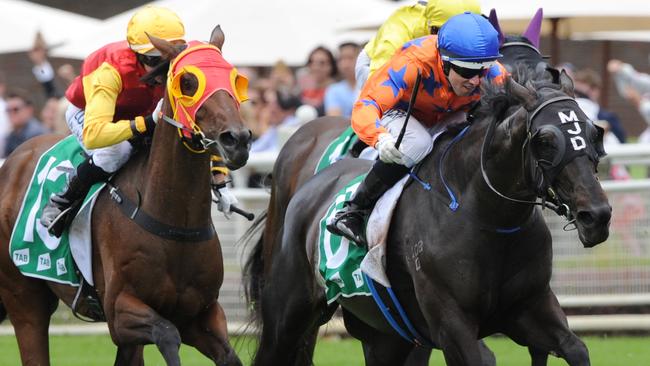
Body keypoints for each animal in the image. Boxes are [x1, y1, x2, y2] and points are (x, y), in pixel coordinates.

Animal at [0, 30, 248, 364]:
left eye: (234, 78)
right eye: (188, 82)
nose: (238, 140)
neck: (173, 222)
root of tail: (13, 160)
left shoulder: (202, 314)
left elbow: (228, 355)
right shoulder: (119, 310)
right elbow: (167, 334)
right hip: (25, 299)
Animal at [242, 66, 608, 366]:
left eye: (594, 133)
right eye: (545, 140)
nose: (597, 216)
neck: (489, 218)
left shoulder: (530, 306)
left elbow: (576, 349)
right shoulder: (451, 323)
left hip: (385, 335)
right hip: (288, 315)